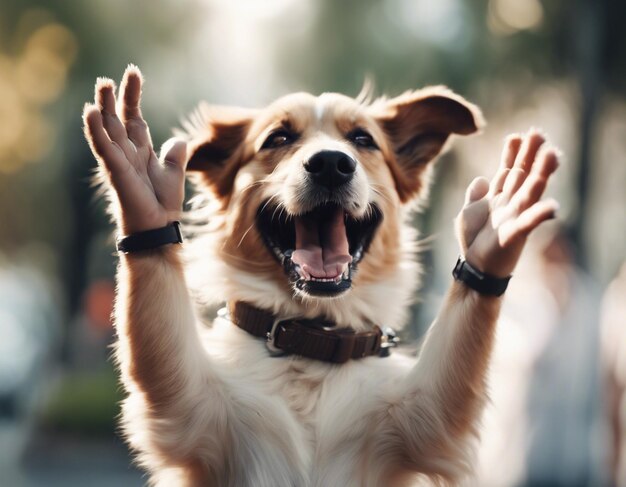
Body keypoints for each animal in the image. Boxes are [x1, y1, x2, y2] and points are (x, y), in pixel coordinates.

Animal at [81, 66, 556, 487]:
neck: (313, 342)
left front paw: (494, 233)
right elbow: (161, 352)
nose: (330, 163)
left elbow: (453, 374)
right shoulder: (188, 404)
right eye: (278, 138)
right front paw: (142, 188)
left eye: (363, 139)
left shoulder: (426, 419)